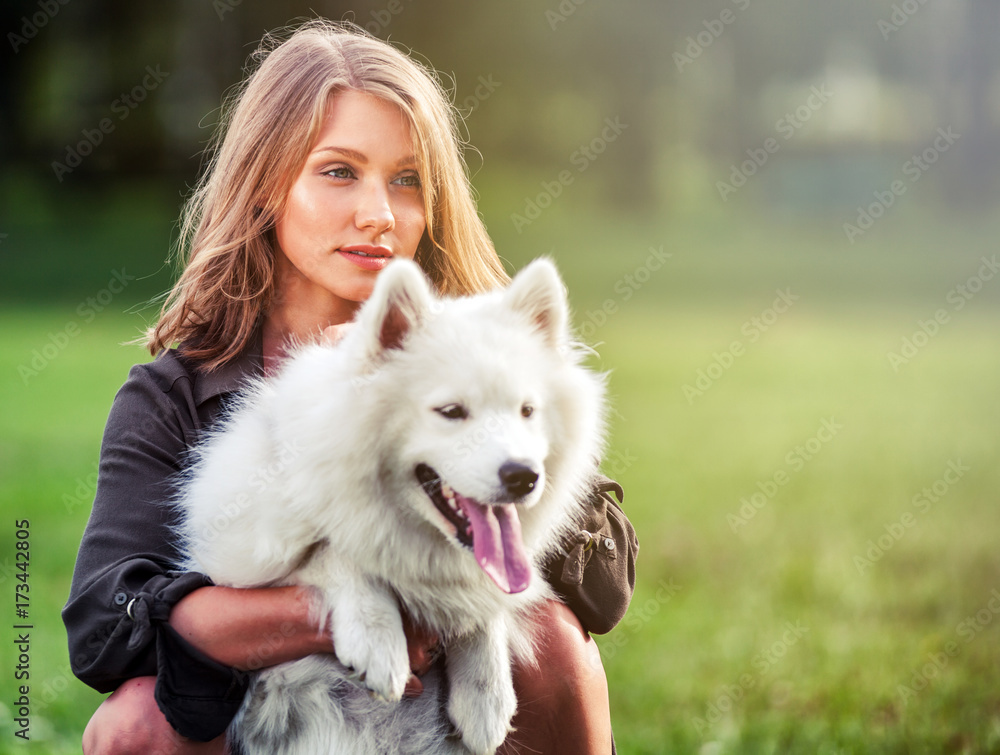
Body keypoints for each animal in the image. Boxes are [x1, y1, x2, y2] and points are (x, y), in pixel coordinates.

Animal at [176, 260, 604, 755]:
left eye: (527, 411)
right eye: (452, 411)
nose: (523, 477)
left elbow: (484, 599)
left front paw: (486, 695)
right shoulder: (235, 549)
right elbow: (336, 552)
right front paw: (377, 639)